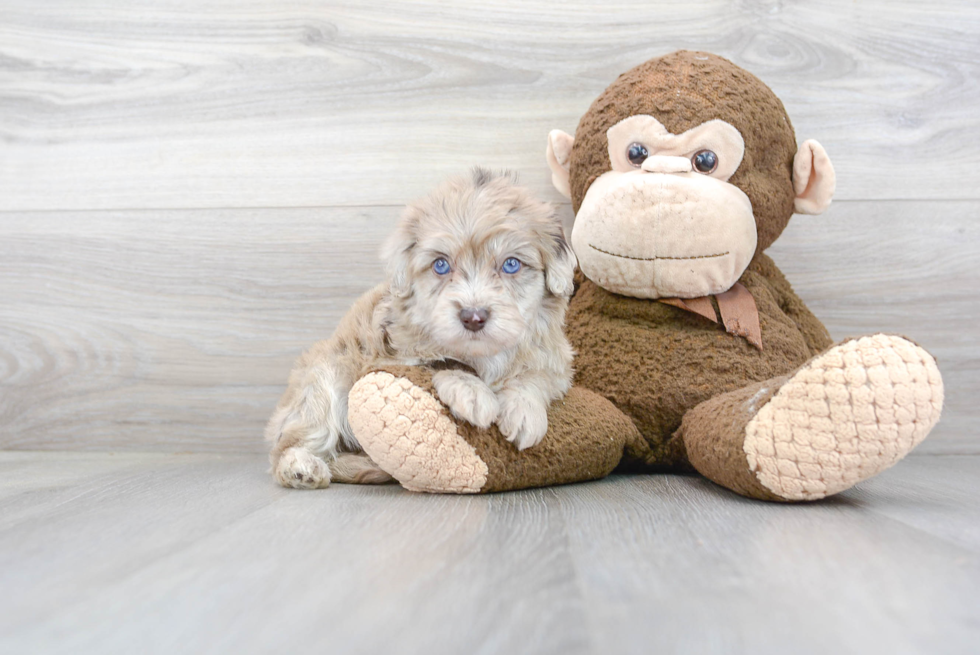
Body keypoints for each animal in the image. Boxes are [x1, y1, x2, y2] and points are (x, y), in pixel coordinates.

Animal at [264, 167, 580, 490]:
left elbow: (537, 375)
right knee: (290, 443)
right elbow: (440, 361)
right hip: (322, 384)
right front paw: (472, 392)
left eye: (511, 265)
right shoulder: (387, 355)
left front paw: (524, 409)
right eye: (441, 265)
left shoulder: (557, 361)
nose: (473, 317)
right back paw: (302, 467)